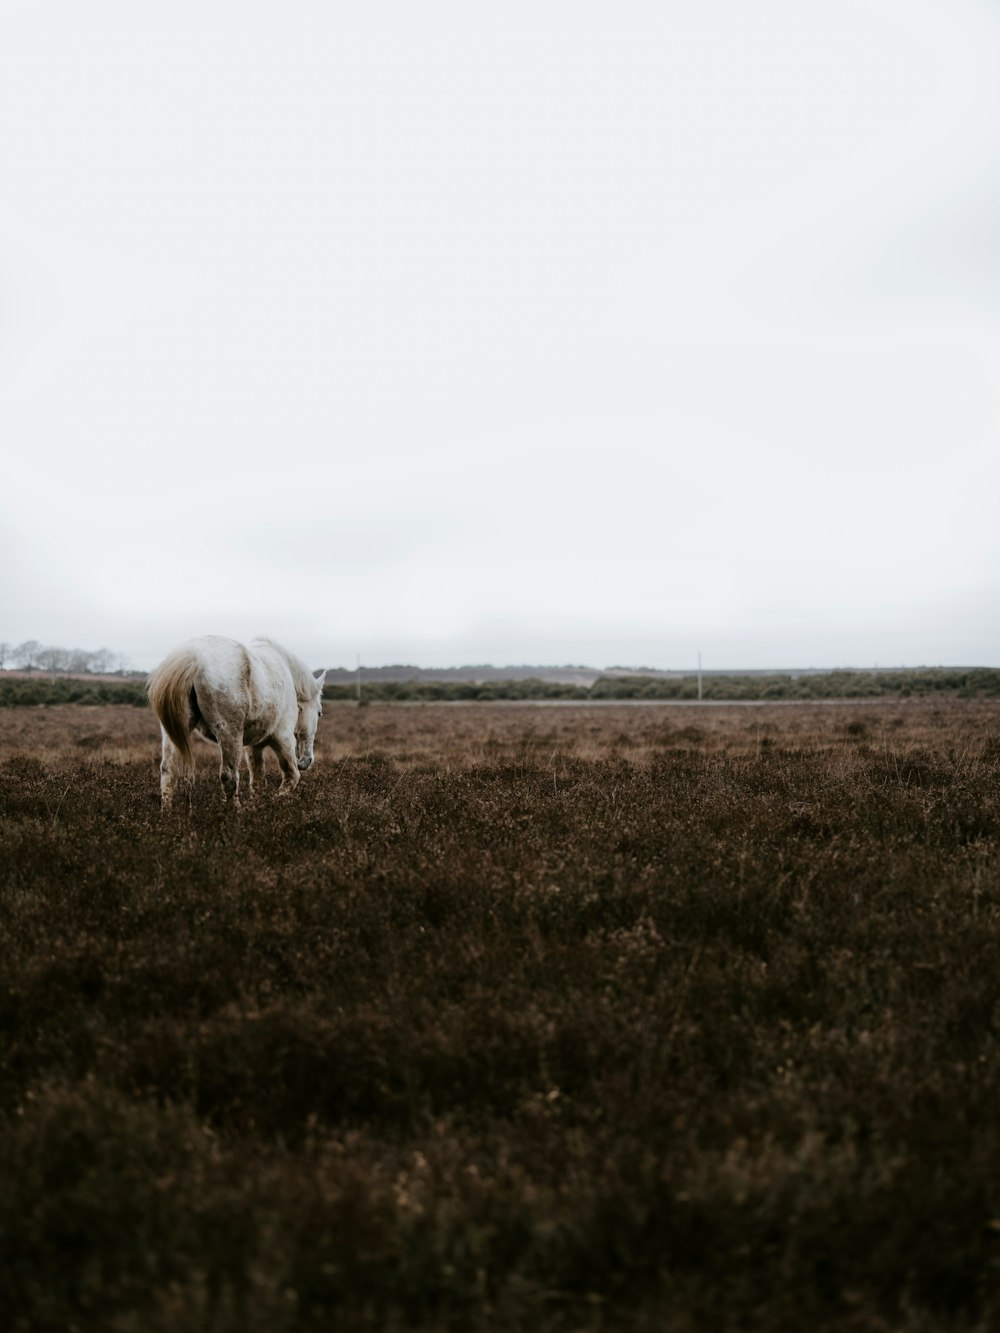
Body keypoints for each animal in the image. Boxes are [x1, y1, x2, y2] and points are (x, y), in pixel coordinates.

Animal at [146, 637, 326, 810]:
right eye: (319, 712)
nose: (307, 761)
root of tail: (194, 656)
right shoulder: (284, 739)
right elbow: (291, 776)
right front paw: (273, 802)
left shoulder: (254, 747)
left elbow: (258, 782)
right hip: (230, 733)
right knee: (228, 776)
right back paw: (236, 812)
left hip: (173, 733)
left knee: (168, 770)